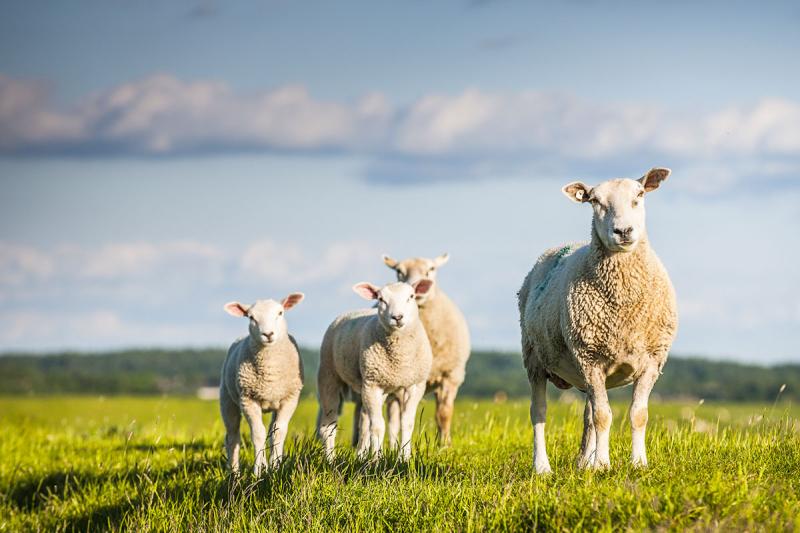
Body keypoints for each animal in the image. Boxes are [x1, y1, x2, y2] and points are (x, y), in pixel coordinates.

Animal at [220, 293, 305, 475]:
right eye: (251, 317)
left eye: (280, 313)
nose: (268, 334)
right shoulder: (248, 400)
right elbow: (258, 433)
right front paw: (259, 470)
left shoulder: (289, 399)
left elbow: (278, 432)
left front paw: (276, 467)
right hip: (227, 399)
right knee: (232, 437)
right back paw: (234, 473)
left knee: (271, 429)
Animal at [317, 280, 434, 460]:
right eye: (380, 299)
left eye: (411, 296)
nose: (397, 317)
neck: (399, 359)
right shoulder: (373, 385)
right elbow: (378, 426)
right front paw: (376, 460)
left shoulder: (414, 385)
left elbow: (406, 424)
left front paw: (404, 458)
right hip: (329, 375)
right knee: (328, 426)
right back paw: (330, 459)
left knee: (363, 422)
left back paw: (360, 455)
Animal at [370, 253, 471, 445]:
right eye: (399, 271)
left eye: (431, 269)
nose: (416, 289)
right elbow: (398, 419)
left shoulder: (450, 375)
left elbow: (444, 413)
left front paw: (444, 445)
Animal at [517, 168, 678, 473]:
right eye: (594, 201)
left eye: (640, 194)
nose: (624, 231)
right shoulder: (590, 358)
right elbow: (604, 415)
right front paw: (603, 464)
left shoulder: (652, 360)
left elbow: (638, 414)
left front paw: (638, 463)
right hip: (534, 358)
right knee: (539, 412)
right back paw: (542, 467)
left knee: (588, 414)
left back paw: (583, 462)